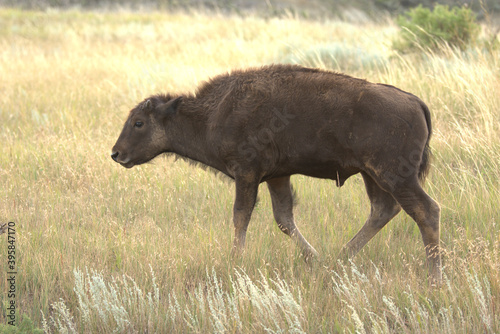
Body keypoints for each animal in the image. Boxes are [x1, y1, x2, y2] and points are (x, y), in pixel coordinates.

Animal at [112, 64, 442, 284]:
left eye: (139, 122)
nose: (116, 154)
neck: (214, 112)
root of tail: (415, 101)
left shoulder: (247, 173)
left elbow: (241, 216)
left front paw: (234, 261)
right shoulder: (276, 176)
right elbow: (284, 219)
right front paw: (314, 259)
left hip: (394, 175)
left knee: (425, 210)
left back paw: (434, 277)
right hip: (371, 175)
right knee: (382, 210)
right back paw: (338, 259)